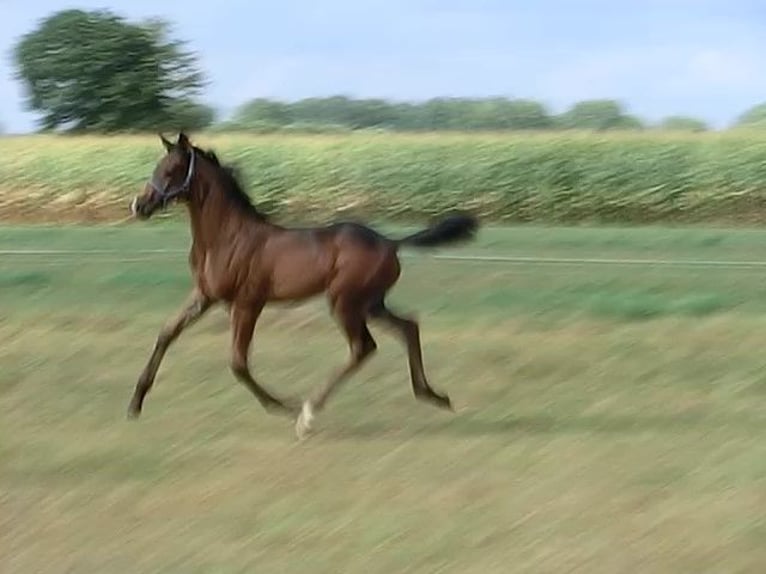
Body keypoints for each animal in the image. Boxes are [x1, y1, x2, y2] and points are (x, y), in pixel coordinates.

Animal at [128, 131, 479, 439]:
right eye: (156, 167)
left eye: (170, 170)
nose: (139, 205)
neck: (226, 237)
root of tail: (391, 243)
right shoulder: (205, 295)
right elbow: (167, 333)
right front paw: (135, 403)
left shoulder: (248, 303)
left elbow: (238, 362)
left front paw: (285, 406)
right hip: (371, 303)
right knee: (408, 327)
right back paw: (432, 395)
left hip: (344, 302)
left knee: (363, 347)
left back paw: (308, 414)